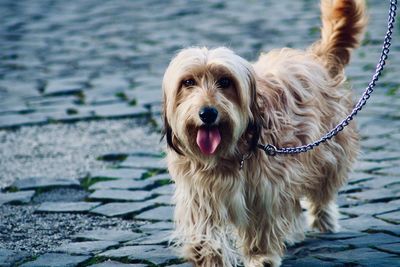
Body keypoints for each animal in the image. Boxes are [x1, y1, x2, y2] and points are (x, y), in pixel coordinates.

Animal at [162, 1, 366, 266]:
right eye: (188, 82)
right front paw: (206, 254)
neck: (228, 153)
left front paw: (261, 255)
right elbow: (204, 227)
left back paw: (324, 221)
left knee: (322, 193)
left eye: (225, 82)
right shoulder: (200, 191)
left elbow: (262, 223)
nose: (207, 113)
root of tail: (316, 58)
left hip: (327, 152)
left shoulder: (266, 188)